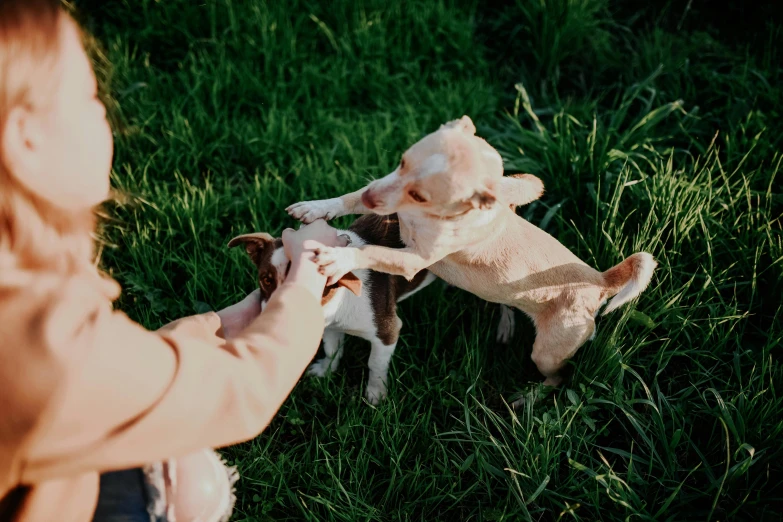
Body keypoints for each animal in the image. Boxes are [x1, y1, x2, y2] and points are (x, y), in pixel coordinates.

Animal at [227, 211, 438, 402]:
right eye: (266, 280)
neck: (337, 304)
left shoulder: (387, 331)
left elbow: (375, 364)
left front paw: (376, 393)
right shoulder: (329, 325)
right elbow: (332, 349)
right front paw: (325, 370)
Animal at [286, 115, 656, 398]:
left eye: (421, 195)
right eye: (402, 162)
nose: (372, 195)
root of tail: (601, 280)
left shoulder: (412, 260)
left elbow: (369, 251)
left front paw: (338, 256)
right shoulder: (383, 200)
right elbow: (351, 198)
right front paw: (317, 208)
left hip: (547, 353)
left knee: (559, 376)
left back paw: (530, 396)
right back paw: (506, 325)